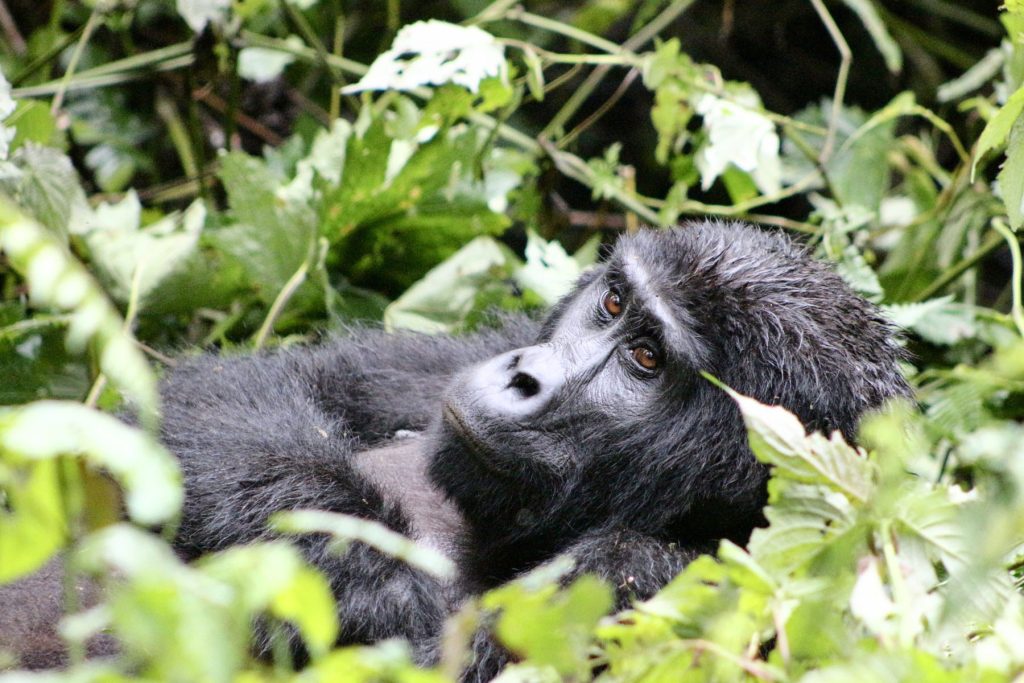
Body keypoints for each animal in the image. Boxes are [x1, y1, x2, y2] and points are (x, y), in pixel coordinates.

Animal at [0, 223, 913, 679]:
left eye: (649, 360)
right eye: (614, 303)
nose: (525, 378)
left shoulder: (683, 584)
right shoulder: (466, 356)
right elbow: (244, 394)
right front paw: (358, 562)